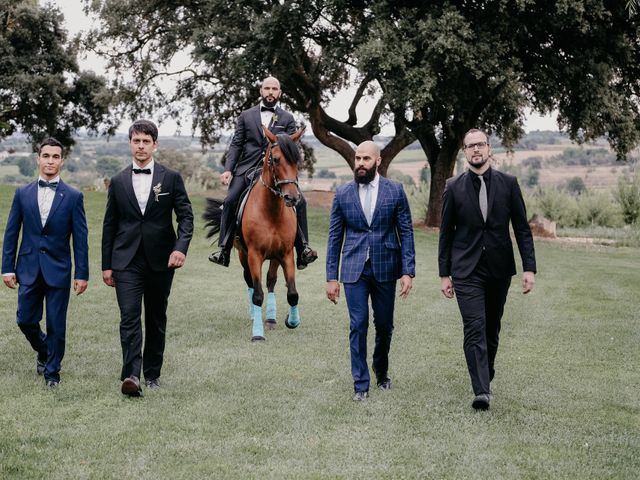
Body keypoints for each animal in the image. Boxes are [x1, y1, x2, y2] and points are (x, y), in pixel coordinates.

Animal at [205, 125, 304, 340]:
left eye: (297, 160)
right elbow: (258, 294)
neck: (271, 210)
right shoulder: (254, 254)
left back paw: (271, 319)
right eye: (276, 159)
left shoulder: (286, 254)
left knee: (271, 281)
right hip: (243, 254)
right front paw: (257, 333)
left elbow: (292, 292)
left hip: (274, 257)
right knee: (250, 280)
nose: (292, 198)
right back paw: (254, 316)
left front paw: (292, 321)